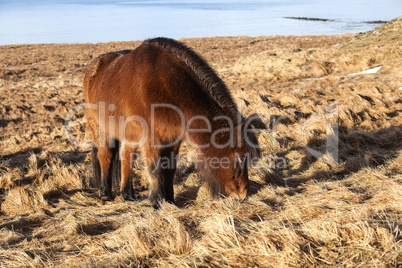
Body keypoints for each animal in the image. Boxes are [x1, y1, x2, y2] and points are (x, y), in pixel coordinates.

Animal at [82, 36, 264, 206]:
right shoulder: (150, 139)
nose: (242, 195)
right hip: (99, 128)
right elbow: (154, 169)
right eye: (241, 158)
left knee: (126, 156)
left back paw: (128, 195)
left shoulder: (173, 139)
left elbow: (169, 168)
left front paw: (170, 200)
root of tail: (94, 67)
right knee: (105, 155)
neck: (167, 87)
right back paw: (105, 194)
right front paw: (157, 202)